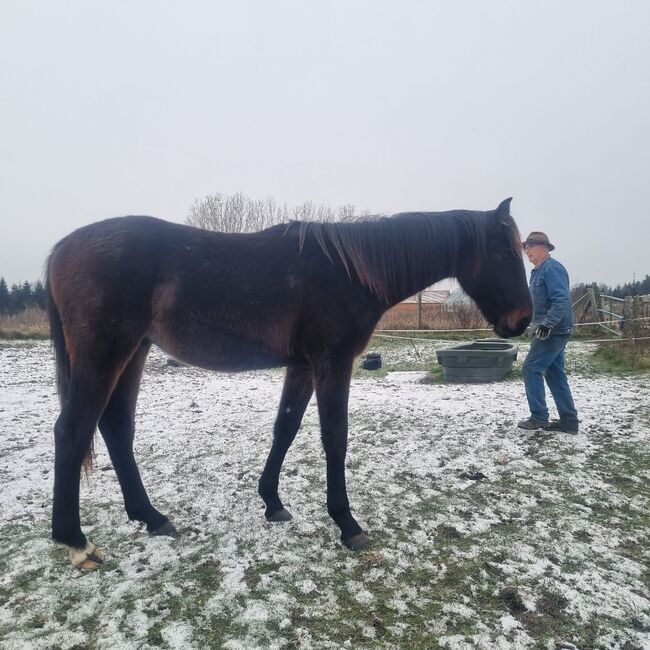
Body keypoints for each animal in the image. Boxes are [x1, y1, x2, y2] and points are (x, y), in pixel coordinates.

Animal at [46, 196, 532, 568]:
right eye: (506, 254)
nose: (523, 321)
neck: (350, 272)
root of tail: (62, 249)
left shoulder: (302, 367)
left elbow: (286, 428)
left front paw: (272, 502)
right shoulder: (332, 362)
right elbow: (335, 436)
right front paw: (347, 524)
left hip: (134, 353)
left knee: (116, 428)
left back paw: (151, 517)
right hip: (105, 353)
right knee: (72, 430)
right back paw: (76, 543)